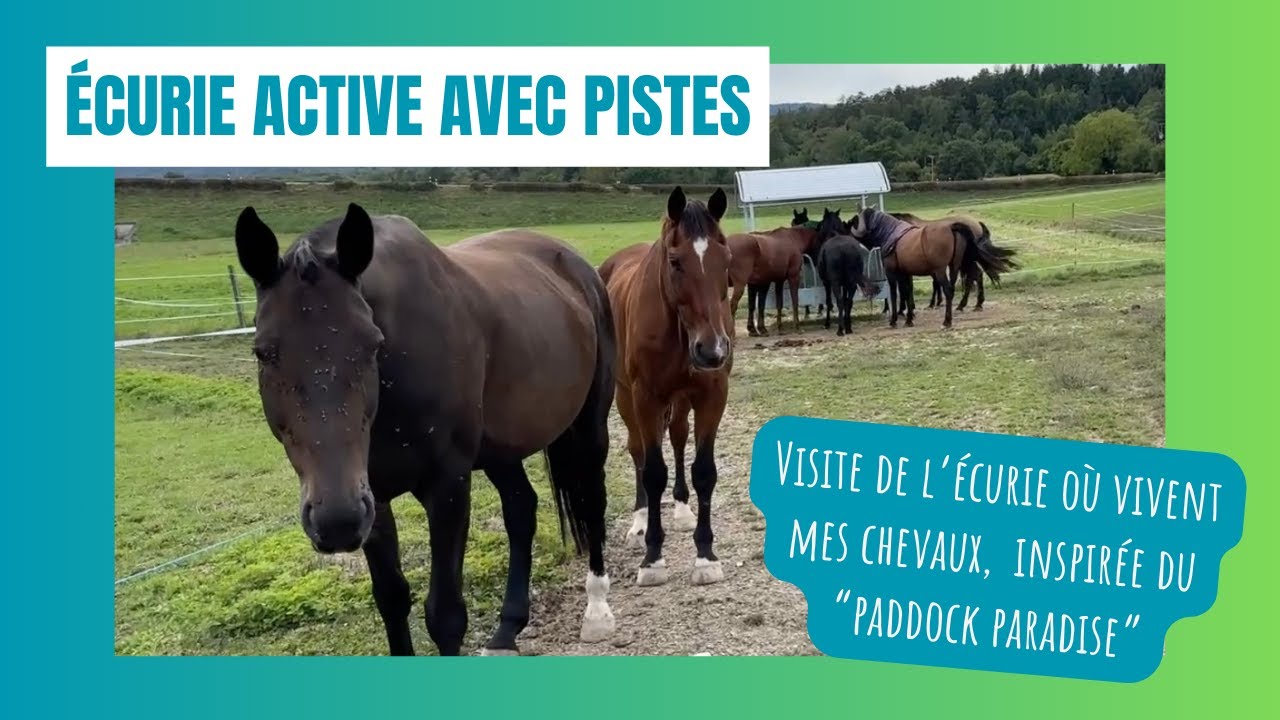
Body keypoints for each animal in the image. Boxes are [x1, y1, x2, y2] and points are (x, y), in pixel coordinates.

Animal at [234, 203, 617, 656]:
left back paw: (597, 611)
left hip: (589, 426)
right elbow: (392, 599)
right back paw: (508, 628)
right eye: (264, 352)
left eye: (372, 344)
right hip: (500, 450)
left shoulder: (446, 485)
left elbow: (445, 616)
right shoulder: (373, 497)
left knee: (591, 499)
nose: (336, 519)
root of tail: (577, 264)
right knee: (521, 509)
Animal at [600, 186, 734, 588]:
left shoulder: (711, 395)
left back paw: (682, 509)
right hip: (626, 398)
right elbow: (652, 471)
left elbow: (704, 472)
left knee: (676, 438)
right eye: (675, 262)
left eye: (726, 259)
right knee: (639, 453)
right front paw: (653, 559)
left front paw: (705, 556)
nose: (713, 350)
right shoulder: (645, 398)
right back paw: (641, 523)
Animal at [846, 206, 1017, 328]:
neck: (891, 234)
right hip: (957, 265)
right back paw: (966, 306)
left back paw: (950, 319)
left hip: (948, 267)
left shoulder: (893, 273)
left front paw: (895, 318)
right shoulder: (907, 273)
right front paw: (910, 317)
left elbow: (896, 294)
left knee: (963, 282)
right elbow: (908, 292)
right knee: (965, 281)